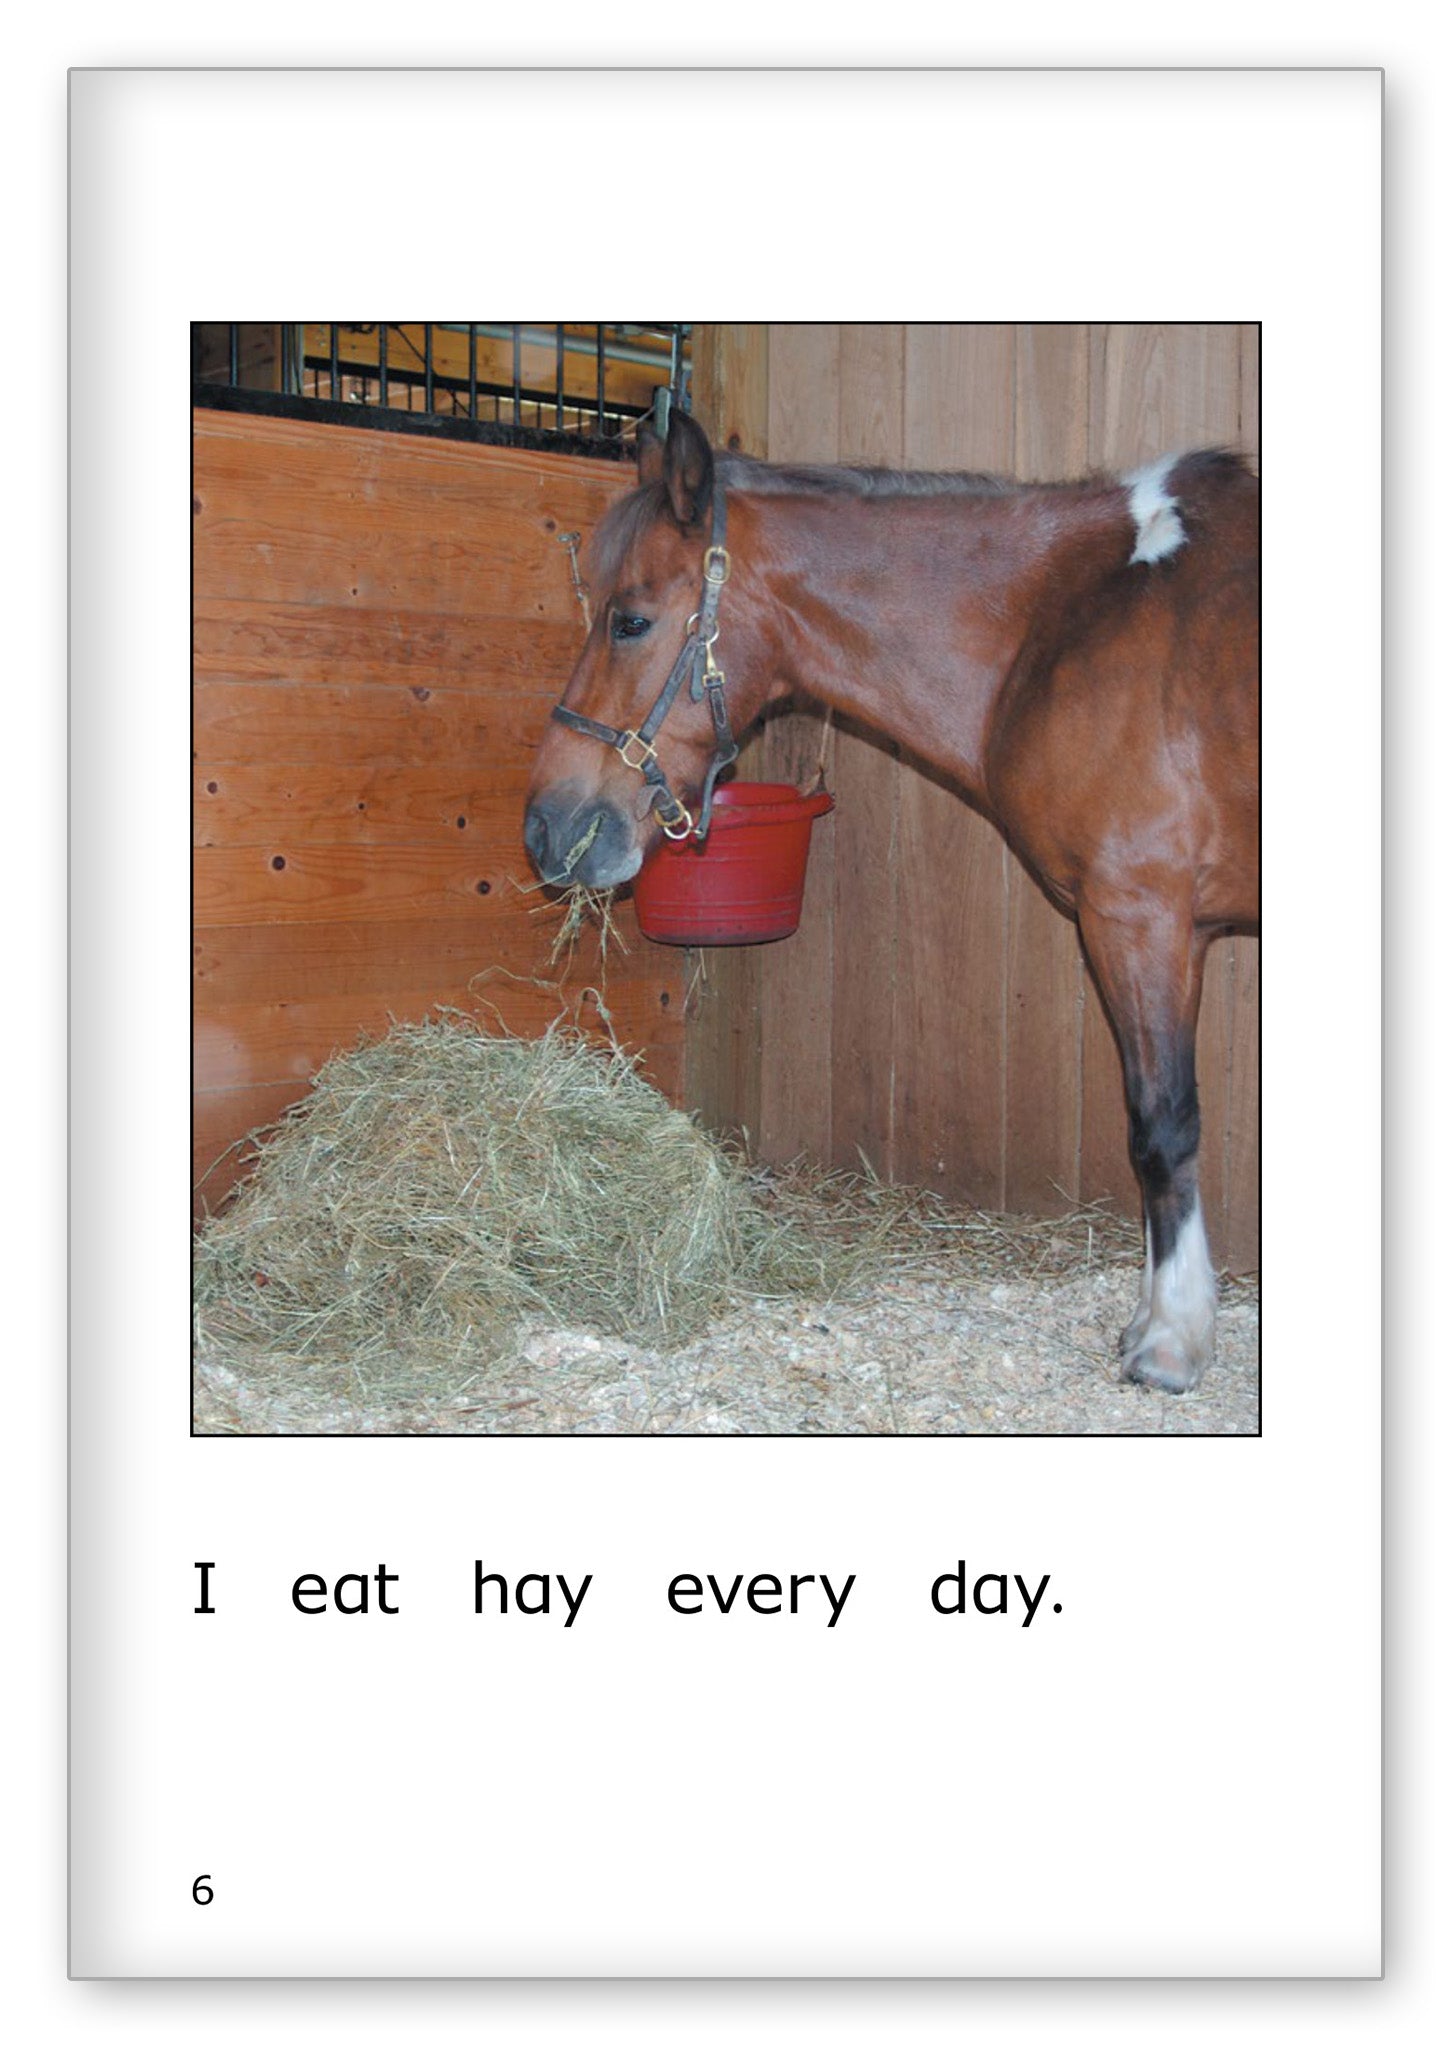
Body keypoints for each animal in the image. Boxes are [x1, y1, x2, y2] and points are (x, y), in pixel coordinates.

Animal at [525, 407, 1259, 1393]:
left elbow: (1162, 1125)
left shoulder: (1142, 917)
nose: (546, 827)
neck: (1073, 619)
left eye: (631, 620)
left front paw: (1171, 1338)